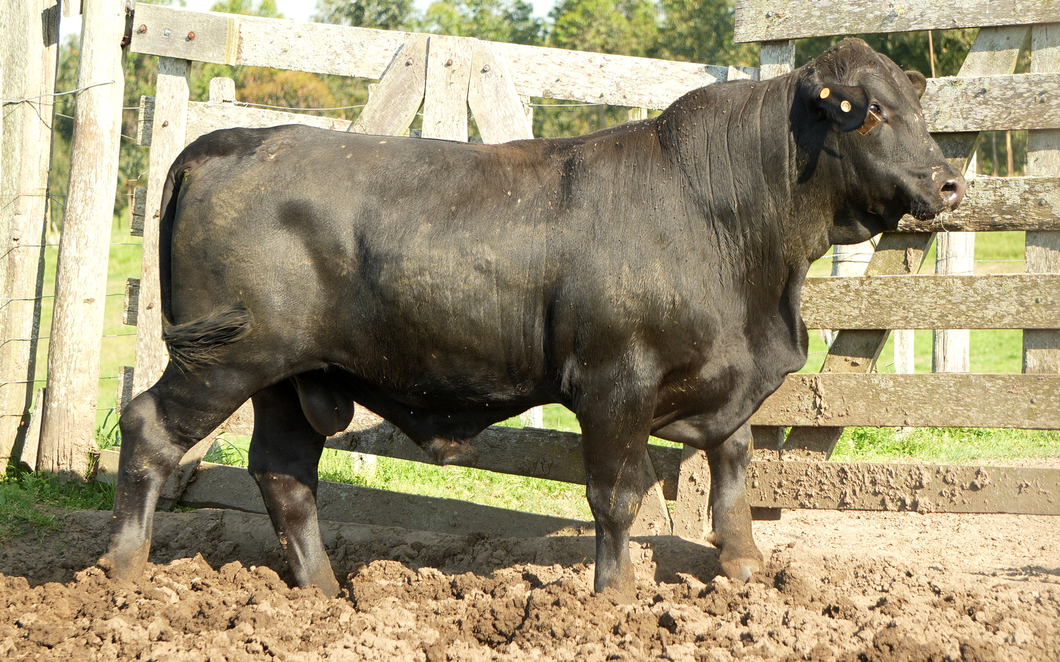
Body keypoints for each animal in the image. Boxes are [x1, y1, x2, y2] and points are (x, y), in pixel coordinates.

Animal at [103, 39, 966, 597]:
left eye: (915, 106)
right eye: (866, 111)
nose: (949, 182)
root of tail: (228, 140)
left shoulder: (725, 376)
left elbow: (734, 466)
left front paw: (745, 568)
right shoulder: (616, 381)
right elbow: (616, 494)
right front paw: (616, 599)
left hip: (292, 376)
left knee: (285, 473)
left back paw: (321, 595)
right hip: (224, 360)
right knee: (148, 428)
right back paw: (122, 575)